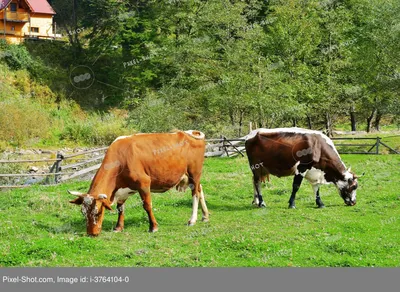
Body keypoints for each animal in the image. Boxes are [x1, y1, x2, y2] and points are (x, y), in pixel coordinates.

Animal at [68, 131, 209, 236]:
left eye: (98, 212)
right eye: (83, 213)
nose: (91, 233)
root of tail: (188, 132)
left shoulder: (144, 183)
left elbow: (147, 205)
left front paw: (153, 227)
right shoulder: (123, 189)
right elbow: (120, 208)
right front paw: (118, 227)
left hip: (194, 173)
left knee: (195, 194)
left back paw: (192, 220)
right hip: (191, 177)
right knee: (200, 189)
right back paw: (205, 216)